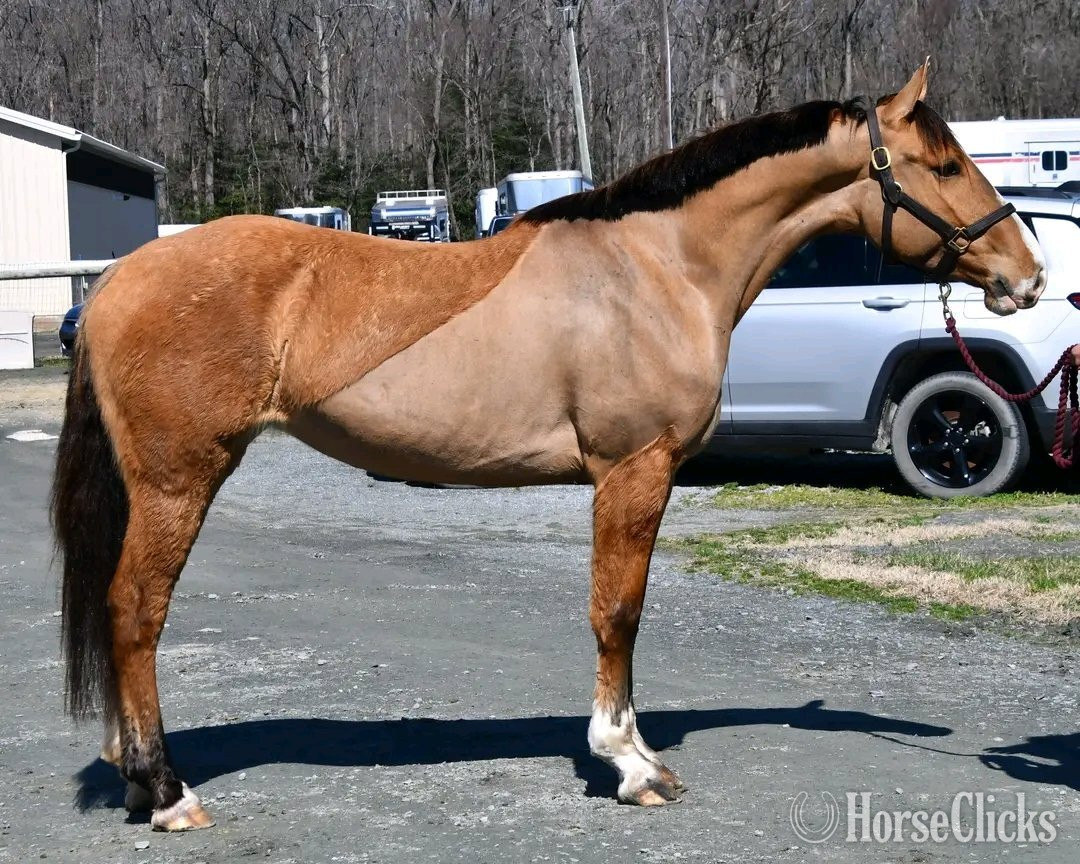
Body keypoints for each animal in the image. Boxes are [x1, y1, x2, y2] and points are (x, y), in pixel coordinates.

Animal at [52, 61, 1044, 831]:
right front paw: (632, 764)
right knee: (135, 610)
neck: (655, 267)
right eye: (944, 163)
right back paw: (167, 791)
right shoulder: (634, 472)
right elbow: (619, 613)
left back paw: (139, 778)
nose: (1027, 278)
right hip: (180, 479)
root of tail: (112, 285)